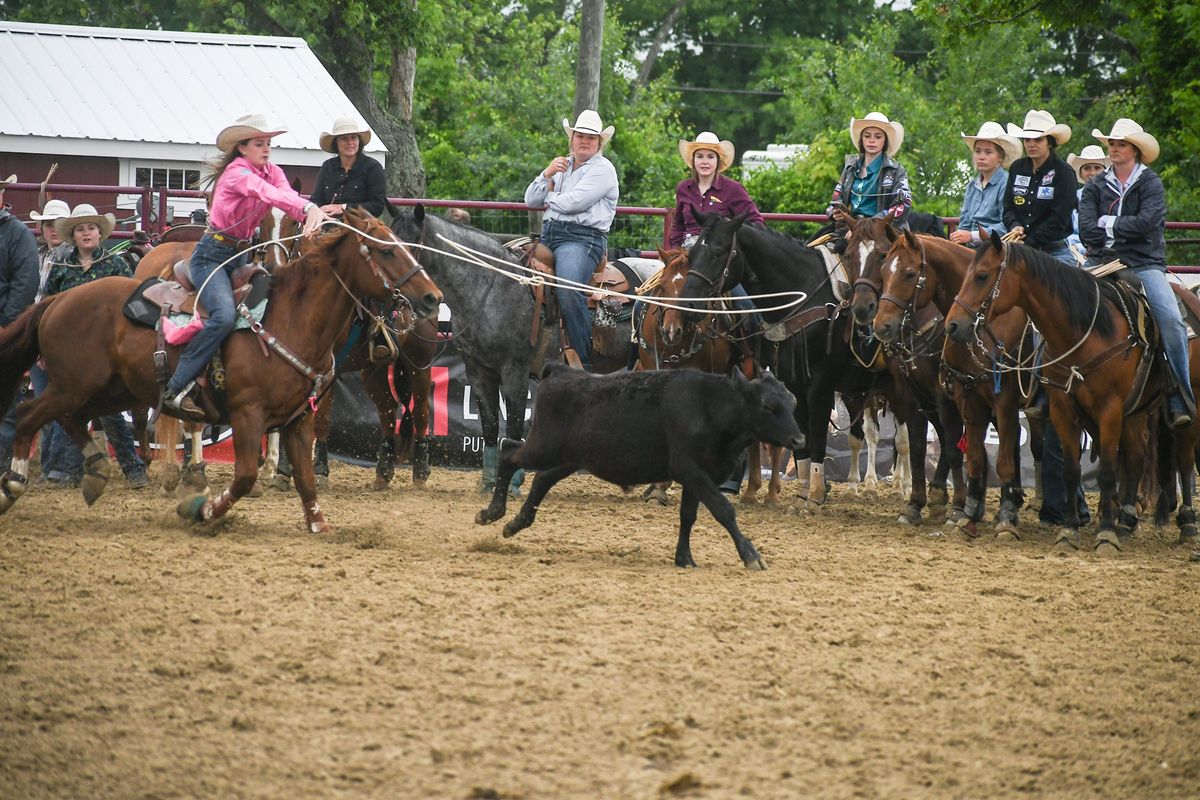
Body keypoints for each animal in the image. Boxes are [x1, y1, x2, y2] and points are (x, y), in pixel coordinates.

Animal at [0, 209, 441, 534]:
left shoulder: (299, 419)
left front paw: (317, 522)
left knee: (70, 419)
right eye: (384, 251)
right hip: (76, 385)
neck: (289, 318)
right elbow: (244, 476)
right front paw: (201, 510)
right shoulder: (248, 414)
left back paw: (96, 470)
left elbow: (305, 478)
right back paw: (15, 486)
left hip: (107, 390)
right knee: (29, 415)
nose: (431, 297)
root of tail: (57, 299)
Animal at [393, 206, 544, 494]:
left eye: (411, 246)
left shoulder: (515, 371)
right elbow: (491, 426)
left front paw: (513, 483)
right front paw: (488, 482)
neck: (493, 287)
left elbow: (515, 426)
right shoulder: (479, 371)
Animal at [945, 235, 1190, 554]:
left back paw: (1175, 524)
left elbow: (1106, 472)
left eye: (982, 275)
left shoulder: (1108, 410)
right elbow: (1071, 471)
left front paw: (1105, 535)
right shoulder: (1062, 408)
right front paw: (1069, 530)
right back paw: (1124, 520)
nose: (952, 325)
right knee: (1135, 456)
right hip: (1133, 411)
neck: (1085, 331)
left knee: (1176, 458)